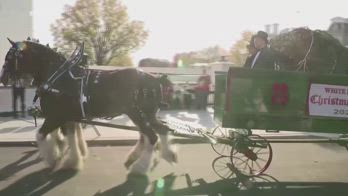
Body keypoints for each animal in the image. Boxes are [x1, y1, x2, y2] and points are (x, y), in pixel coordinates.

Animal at [0, 39, 177, 174]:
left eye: (9, 58)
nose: (3, 79)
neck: (57, 78)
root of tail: (156, 79)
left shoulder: (56, 116)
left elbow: (41, 135)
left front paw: (52, 158)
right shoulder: (67, 117)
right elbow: (70, 137)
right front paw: (71, 160)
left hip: (137, 113)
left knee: (152, 136)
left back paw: (140, 167)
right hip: (147, 114)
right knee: (160, 130)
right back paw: (164, 155)